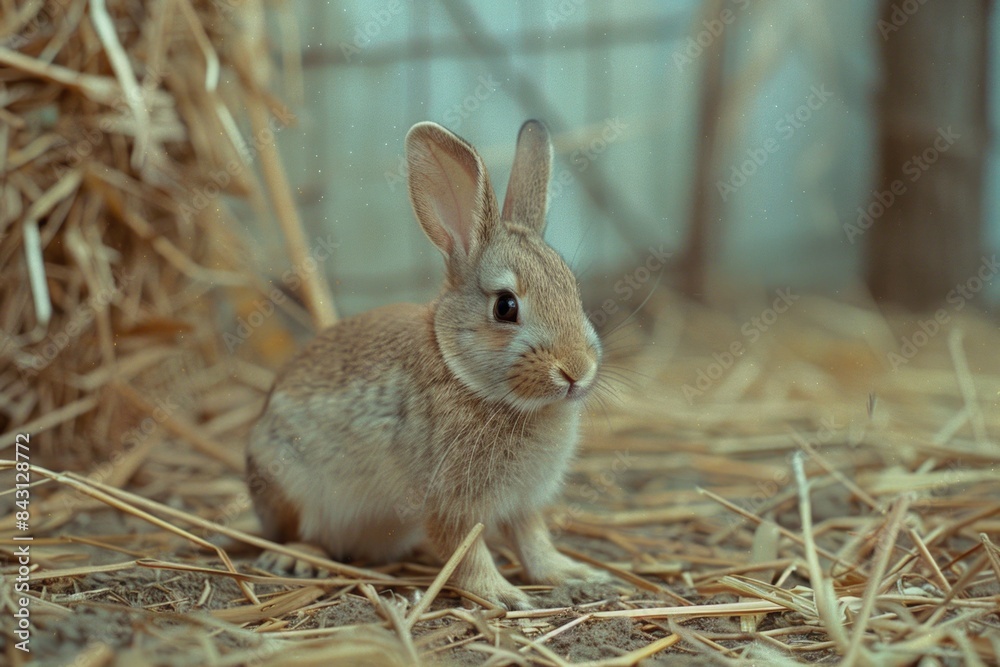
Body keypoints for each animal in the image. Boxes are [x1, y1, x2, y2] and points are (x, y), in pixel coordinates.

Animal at [246, 119, 607, 610]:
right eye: (506, 306)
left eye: (574, 289)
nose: (576, 370)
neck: (465, 376)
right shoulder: (447, 500)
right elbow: (465, 551)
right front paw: (503, 596)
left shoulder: (524, 503)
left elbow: (534, 541)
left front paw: (572, 574)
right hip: (288, 483)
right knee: (295, 533)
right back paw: (297, 557)